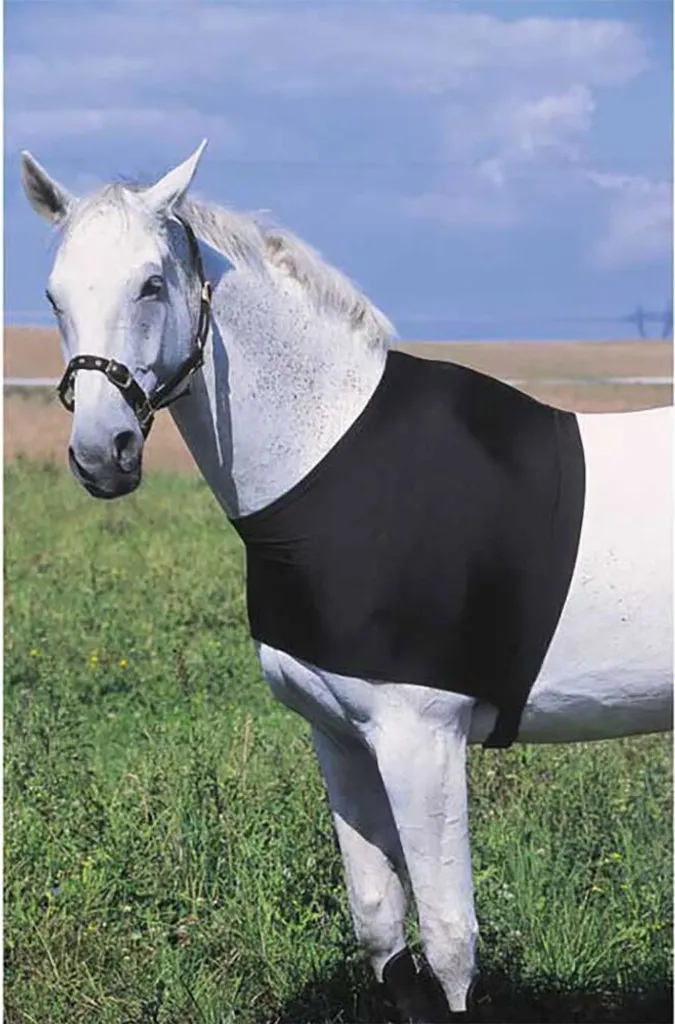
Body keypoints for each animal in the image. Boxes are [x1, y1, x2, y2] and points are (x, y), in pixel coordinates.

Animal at [21, 141, 672, 1023]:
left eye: (151, 284)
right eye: (54, 295)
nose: (102, 452)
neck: (330, 457)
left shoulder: (420, 737)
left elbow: (449, 941)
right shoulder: (338, 735)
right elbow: (380, 928)